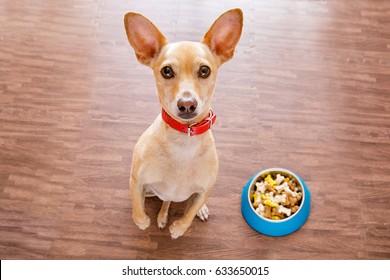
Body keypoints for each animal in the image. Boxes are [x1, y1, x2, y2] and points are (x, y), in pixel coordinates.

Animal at [124, 8, 244, 238]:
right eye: (167, 71)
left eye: (205, 70)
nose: (187, 104)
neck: (183, 141)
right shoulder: (136, 182)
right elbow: (137, 210)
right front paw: (144, 222)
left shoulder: (204, 191)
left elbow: (188, 216)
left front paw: (178, 229)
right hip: (152, 192)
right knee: (165, 200)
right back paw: (162, 216)